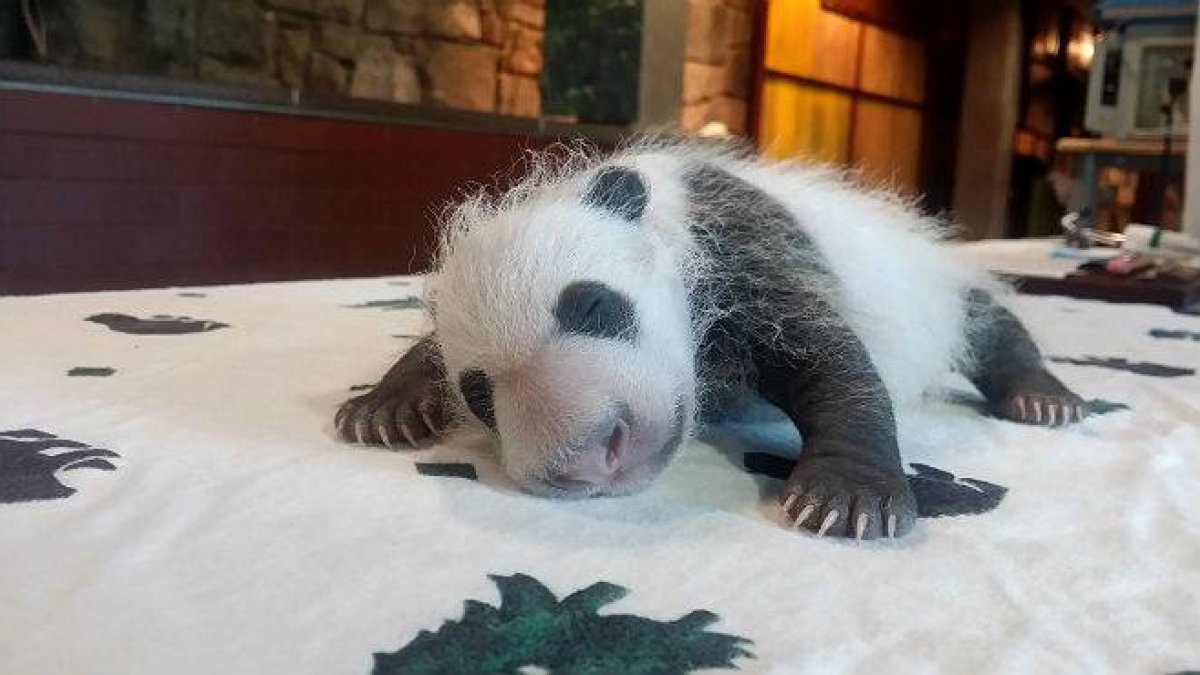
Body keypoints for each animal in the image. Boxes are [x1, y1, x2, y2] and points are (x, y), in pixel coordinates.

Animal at [334, 137, 1086, 541]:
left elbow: (833, 360)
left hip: (931, 282)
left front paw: (847, 496)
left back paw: (1041, 396)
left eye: (594, 306)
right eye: (480, 395)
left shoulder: (743, 244)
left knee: (988, 320)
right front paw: (384, 407)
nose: (587, 454)